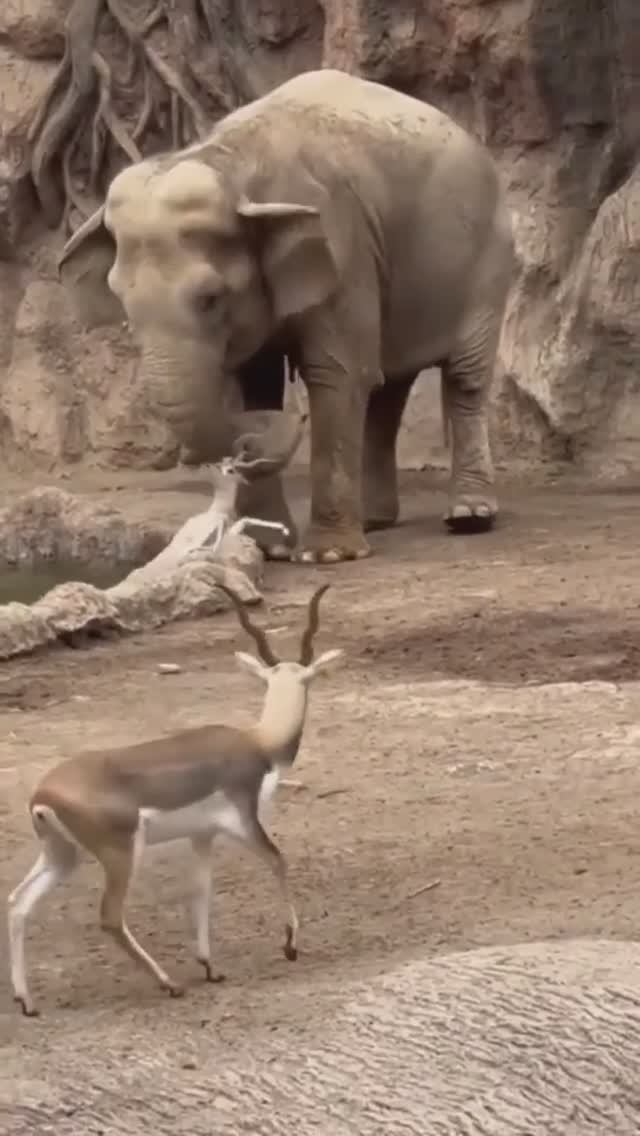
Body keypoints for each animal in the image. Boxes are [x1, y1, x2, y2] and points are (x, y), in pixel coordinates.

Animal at [58, 68, 515, 564]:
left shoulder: (341, 242)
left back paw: (469, 517)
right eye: (121, 301)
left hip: (487, 258)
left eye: (211, 298)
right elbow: (252, 384)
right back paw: (375, 522)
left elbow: (336, 373)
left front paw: (327, 556)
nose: (252, 444)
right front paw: (269, 548)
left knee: (462, 376)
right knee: (386, 388)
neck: (229, 163)